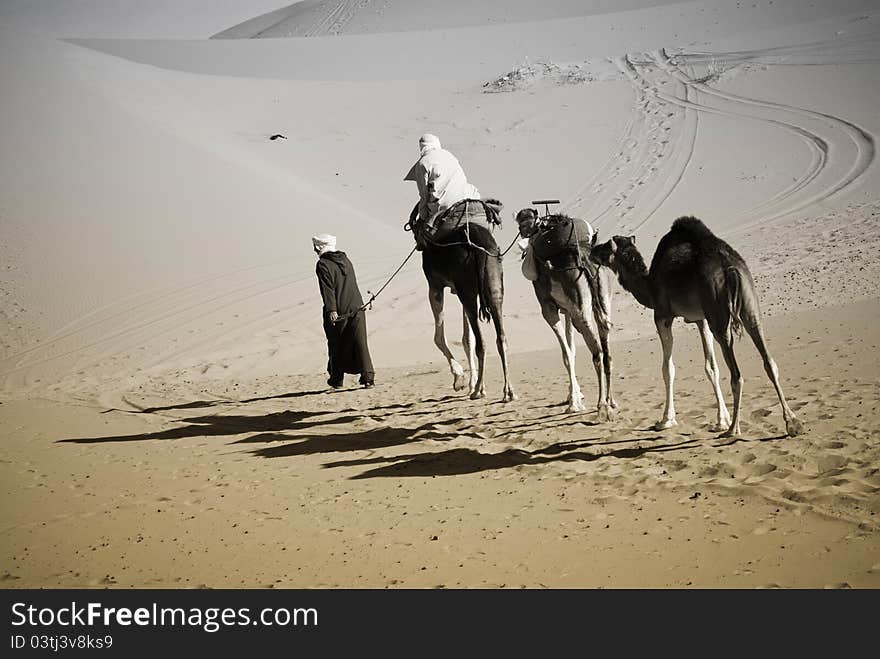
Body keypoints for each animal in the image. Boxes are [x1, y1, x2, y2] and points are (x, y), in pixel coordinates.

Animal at [412, 201, 516, 402]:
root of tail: (478, 245)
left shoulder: (435, 286)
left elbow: (439, 337)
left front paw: (460, 379)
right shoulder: (460, 291)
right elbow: (468, 339)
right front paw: (470, 383)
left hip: (465, 288)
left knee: (482, 342)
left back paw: (479, 391)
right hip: (492, 283)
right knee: (500, 337)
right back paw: (508, 391)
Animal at [516, 209, 612, 420]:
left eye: (523, 223)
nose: (521, 230)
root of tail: (584, 257)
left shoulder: (548, 307)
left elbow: (566, 353)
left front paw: (574, 403)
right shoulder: (567, 310)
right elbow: (572, 349)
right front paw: (574, 396)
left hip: (579, 307)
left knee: (597, 350)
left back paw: (602, 406)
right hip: (602, 297)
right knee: (606, 345)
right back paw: (611, 402)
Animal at [592, 217, 804, 438]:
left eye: (605, 246)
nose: (592, 250)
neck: (649, 285)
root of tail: (730, 269)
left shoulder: (663, 316)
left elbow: (668, 368)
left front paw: (666, 420)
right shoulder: (701, 319)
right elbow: (711, 367)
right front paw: (720, 420)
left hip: (719, 316)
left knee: (736, 374)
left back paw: (733, 429)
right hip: (749, 307)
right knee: (769, 360)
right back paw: (792, 422)